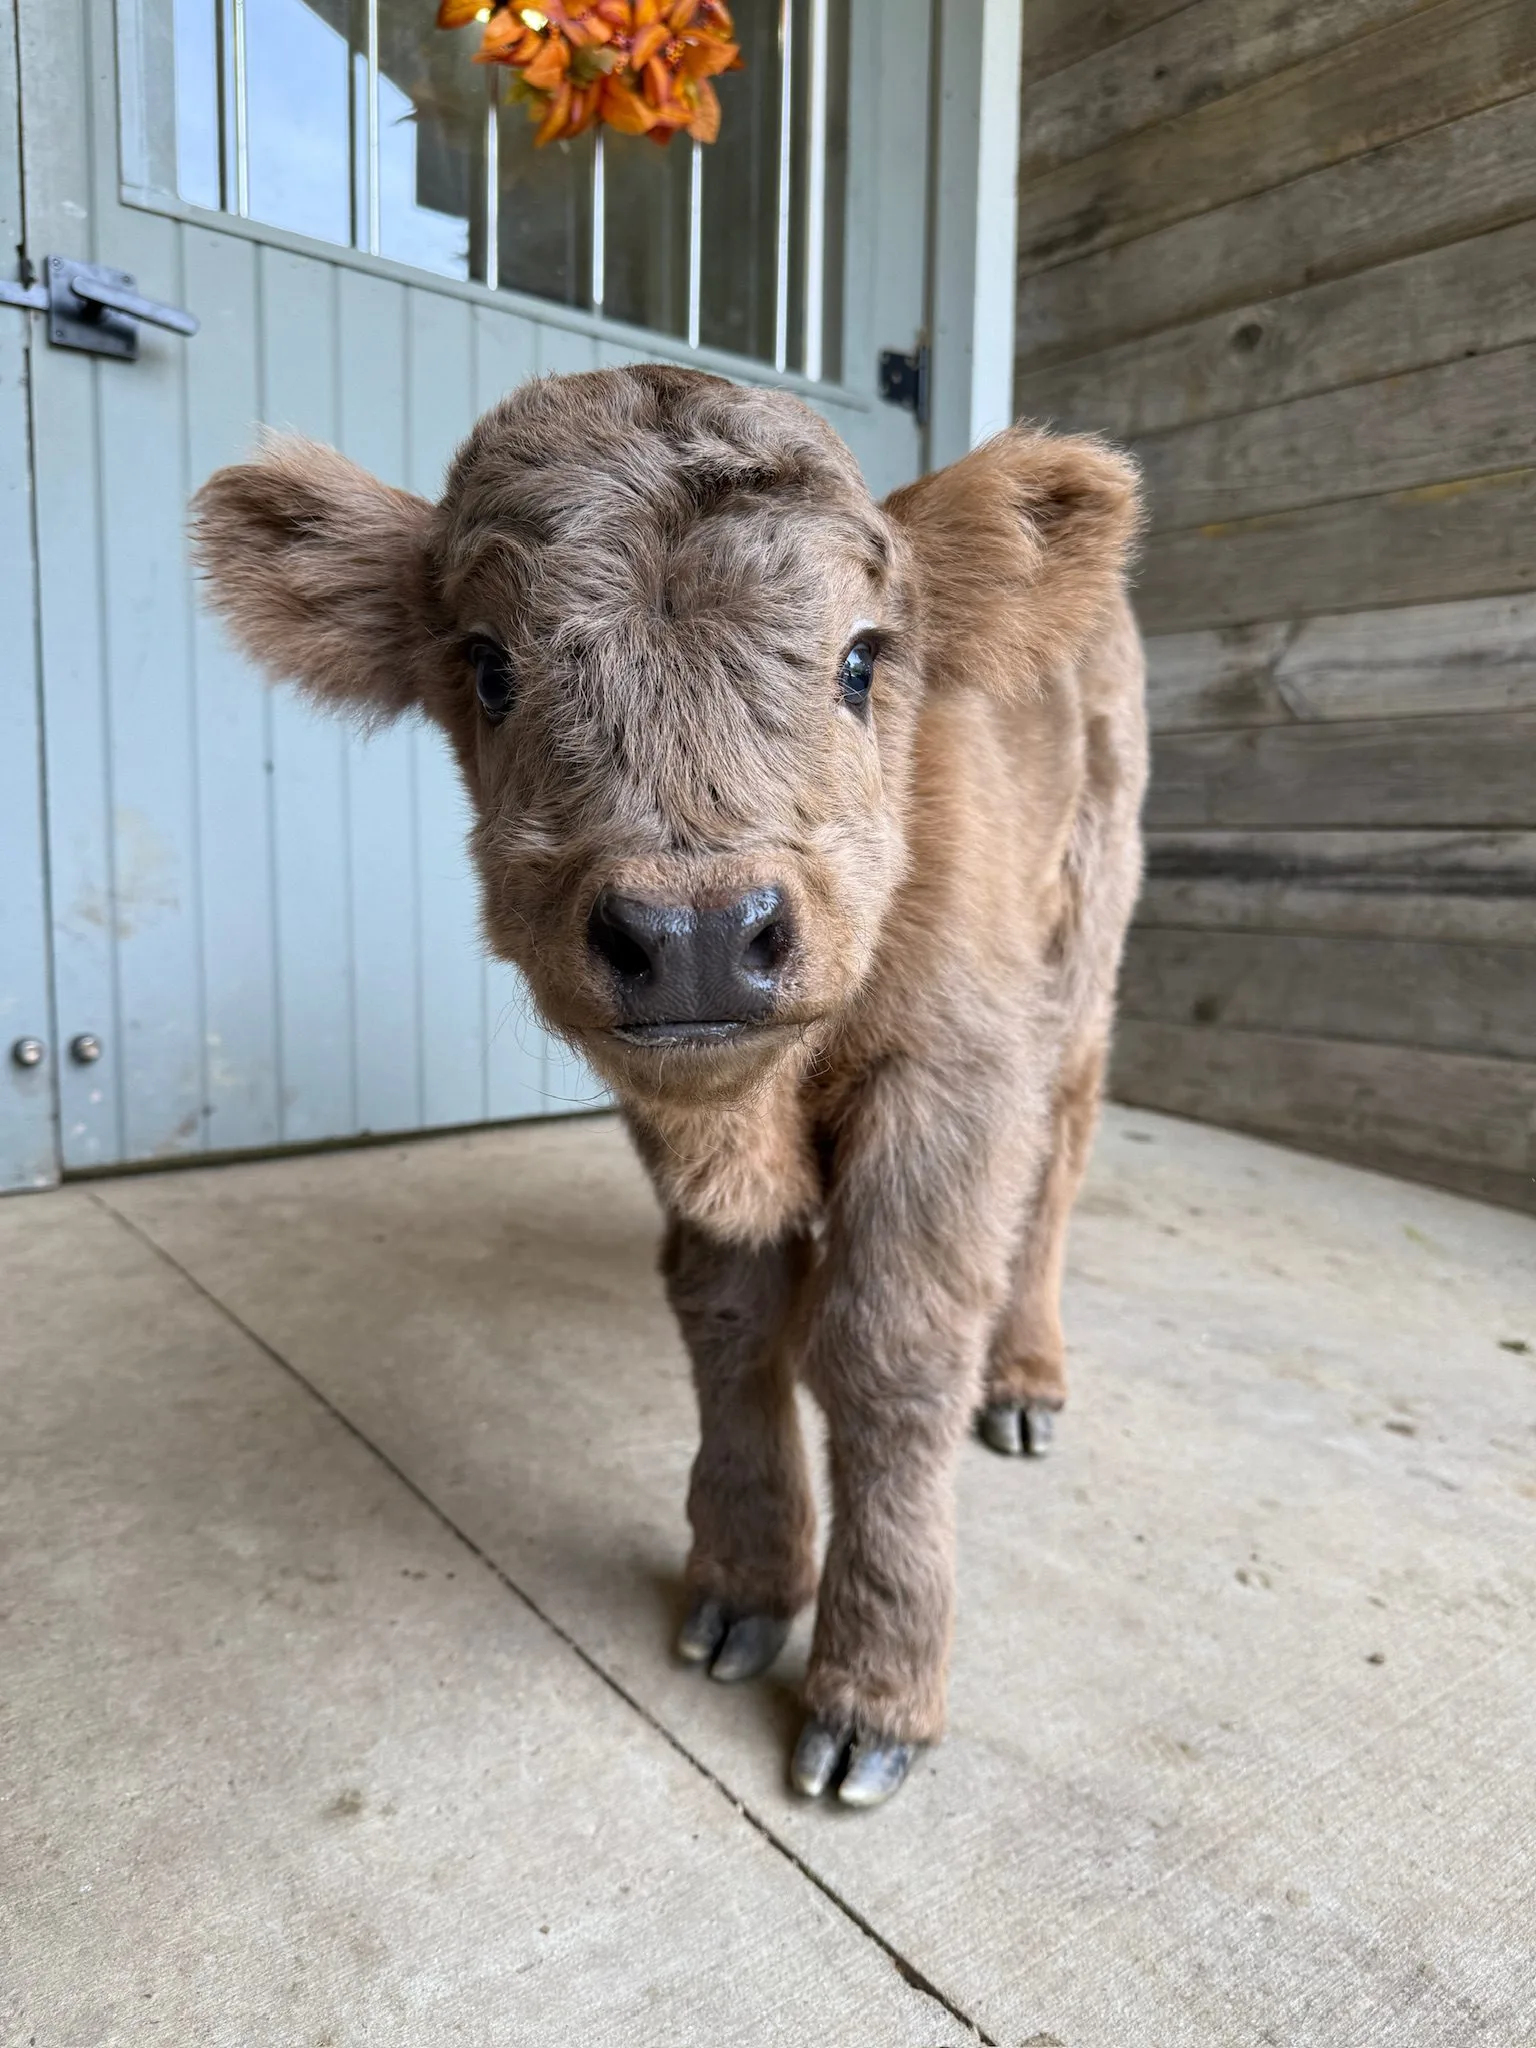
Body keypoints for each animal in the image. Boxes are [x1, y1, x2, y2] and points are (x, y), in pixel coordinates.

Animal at [192, 365, 1146, 1809]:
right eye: (490, 666)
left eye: (862, 659)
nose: (695, 931)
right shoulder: (672, 1109)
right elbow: (730, 1320)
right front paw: (746, 1587)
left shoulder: (955, 1071)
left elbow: (893, 1344)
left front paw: (876, 1690)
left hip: (1085, 950)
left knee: (1064, 1157)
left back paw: (1027, 1377)